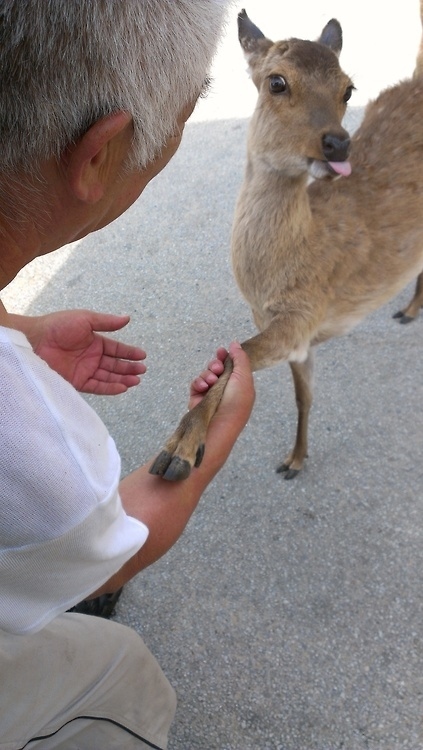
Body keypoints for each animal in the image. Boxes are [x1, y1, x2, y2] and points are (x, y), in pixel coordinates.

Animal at [149, 4, 423, 482]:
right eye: (276, 81)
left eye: (348, 88)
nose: (338, 144)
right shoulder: (293, 333)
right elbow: (302, 395)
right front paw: (294, 460)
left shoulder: (302, 315)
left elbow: (236, 360)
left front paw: (178, 452)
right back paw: (408, 310)